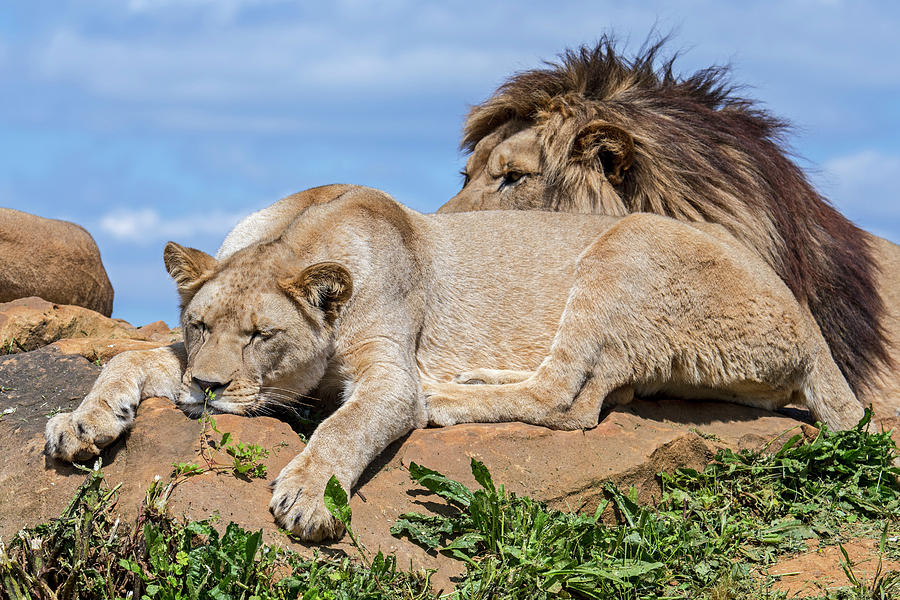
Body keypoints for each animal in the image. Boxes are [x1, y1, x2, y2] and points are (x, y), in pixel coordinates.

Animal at [45, 185, 863, 541]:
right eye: (202, 323)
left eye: (261, 335)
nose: (207, 390)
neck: (302, 233)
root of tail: (805, 316)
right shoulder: (180, 354)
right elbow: (128, 355)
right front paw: (82, 425)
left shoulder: (388, 371)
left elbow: (343, 429)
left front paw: (308, 497)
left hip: (627, 244)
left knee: (568, 399)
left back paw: (447, 395)